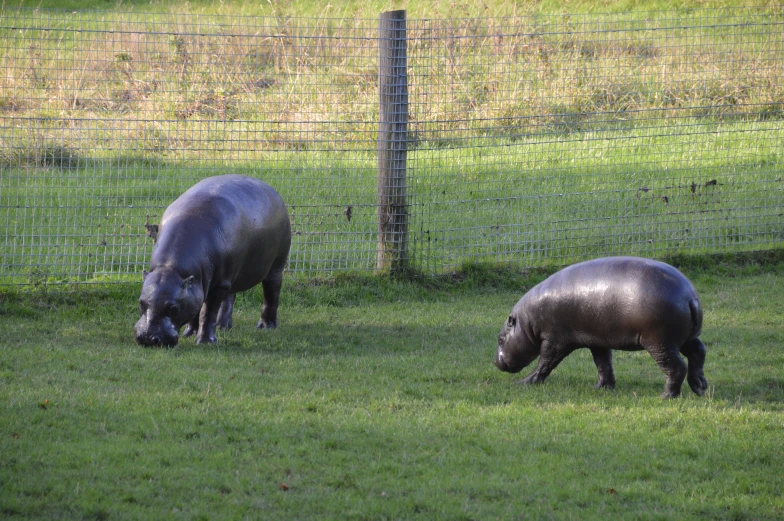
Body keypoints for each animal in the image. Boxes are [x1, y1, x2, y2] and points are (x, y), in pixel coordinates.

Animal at [135, 174, 290, 346]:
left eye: (173, 308)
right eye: (141, 303)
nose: (148, 339)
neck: (171, 268)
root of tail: (271, 189)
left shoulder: (217, 285)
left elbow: (207, 312)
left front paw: (204, 341)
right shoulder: (198, 283)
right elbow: (196, 306)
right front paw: (190, 333)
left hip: (276, 265)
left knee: (272, 291)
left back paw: (266, 326)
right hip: (231, 275)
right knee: (230, 297)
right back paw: (223, 326)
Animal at [496, 256, 712, 398]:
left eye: (500, 339)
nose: (495, 362)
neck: (526, 323)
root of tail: (690, 297)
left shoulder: (554, 339)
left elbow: (545, 362)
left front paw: (525, 382)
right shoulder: (597, 339)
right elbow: (602, 363)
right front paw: (602, 388)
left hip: (660, 342)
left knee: (677, 367)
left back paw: (666, 396)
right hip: (684, 338)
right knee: (698, 353)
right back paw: (700, 388)